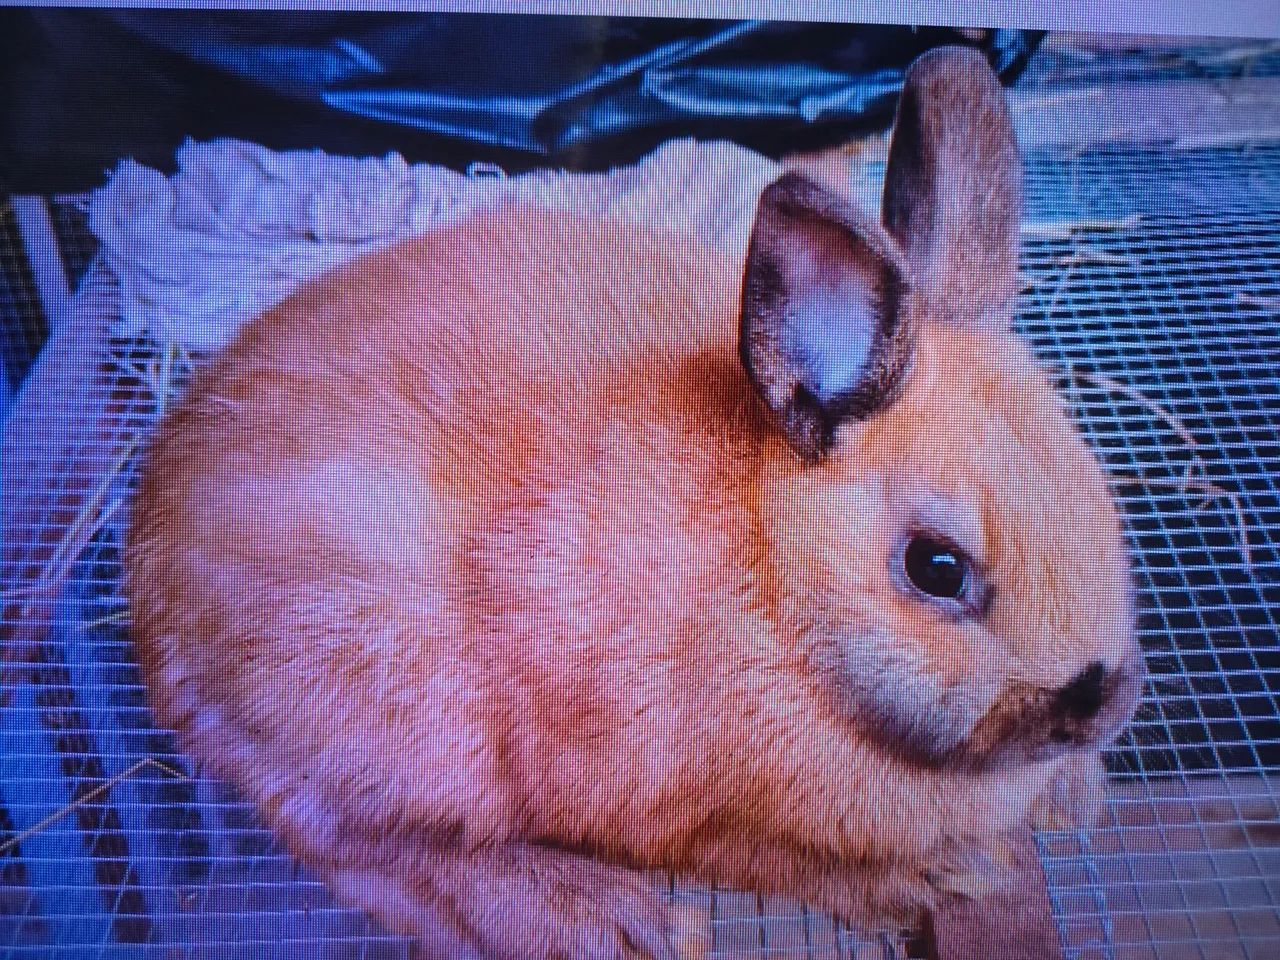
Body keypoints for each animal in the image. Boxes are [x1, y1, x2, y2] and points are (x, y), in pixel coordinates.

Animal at [125, 46, 1144, 960]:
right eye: (936, 567)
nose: (1102, 713)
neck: (777, 578)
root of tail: (149, 586)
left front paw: (1074, 797)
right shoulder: (702, 819)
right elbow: (785, 863)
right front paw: (942, 874)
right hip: (388, 703)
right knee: (360, 848)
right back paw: (601, 918)